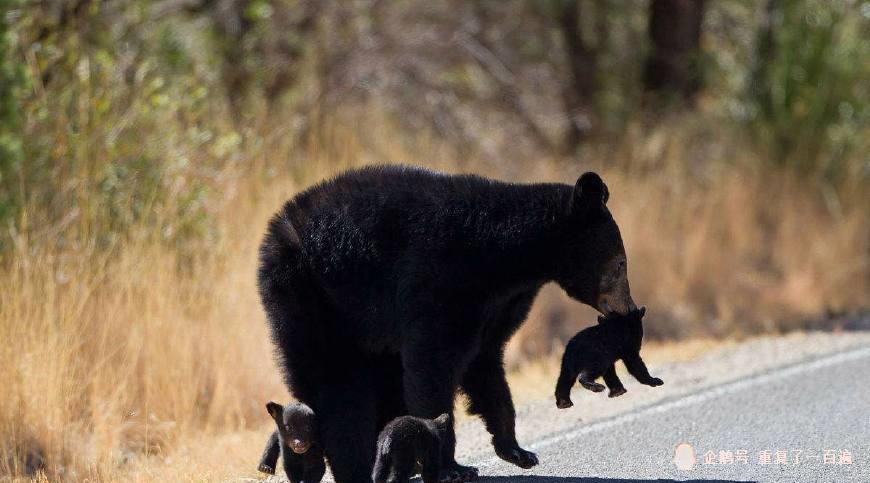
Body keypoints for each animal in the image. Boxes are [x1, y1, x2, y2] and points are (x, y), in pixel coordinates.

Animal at [258, 166, 632, 483]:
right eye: (619, 264)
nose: (625, 308)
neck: (505, 257)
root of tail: (274, 232)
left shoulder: (498, 304)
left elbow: (485, 364)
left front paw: (517, 450)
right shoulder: (440, 281)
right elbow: (433, 363)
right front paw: (454, 466)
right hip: (312, 299)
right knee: (337, 385)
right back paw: (355, 465)